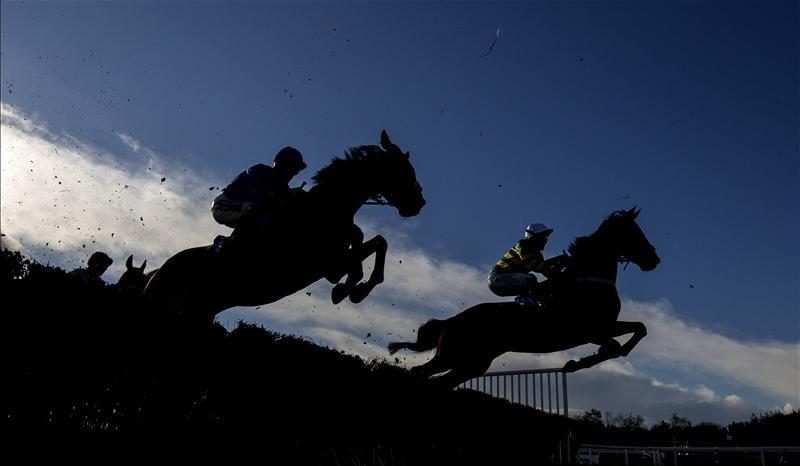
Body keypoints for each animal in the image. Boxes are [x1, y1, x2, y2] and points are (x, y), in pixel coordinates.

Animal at [143, 130, 426, 323]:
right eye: (404, 171)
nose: (419, 203)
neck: (324, 210)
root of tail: (156, 274)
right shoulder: (322, 261)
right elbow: (358, 251)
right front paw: (348, 288)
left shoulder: (335, 258)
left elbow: (377, 241)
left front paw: (358, 289)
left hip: (201, 311)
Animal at [388, 207, 660, 389]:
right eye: (634, 233)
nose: (654, 259)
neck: (588, 281)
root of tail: (450, 321)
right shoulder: (589, 330)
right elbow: (616, 343)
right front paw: (578, 362)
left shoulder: (605, 326)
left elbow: (639, 328)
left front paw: (586, 360)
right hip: (452, 355)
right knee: (418, 372)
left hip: (472, 364)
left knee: (438, 381)